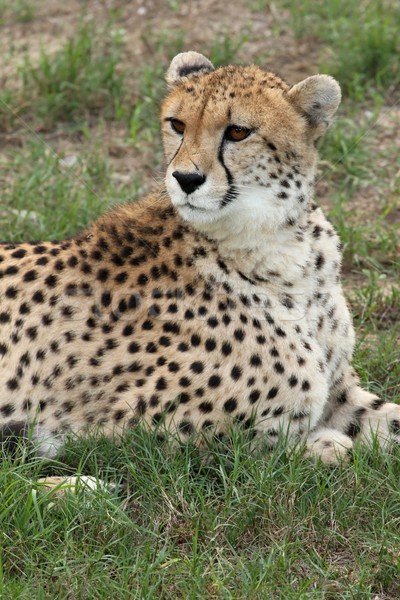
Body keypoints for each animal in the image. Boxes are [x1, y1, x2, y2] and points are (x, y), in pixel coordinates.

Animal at [0, 50, 398, 468]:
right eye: (177, 124)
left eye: (238, 132)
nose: (185, 179)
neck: (280, 244)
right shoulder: (123, 432)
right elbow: (283, 446)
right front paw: (328, 445)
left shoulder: (341, 392)